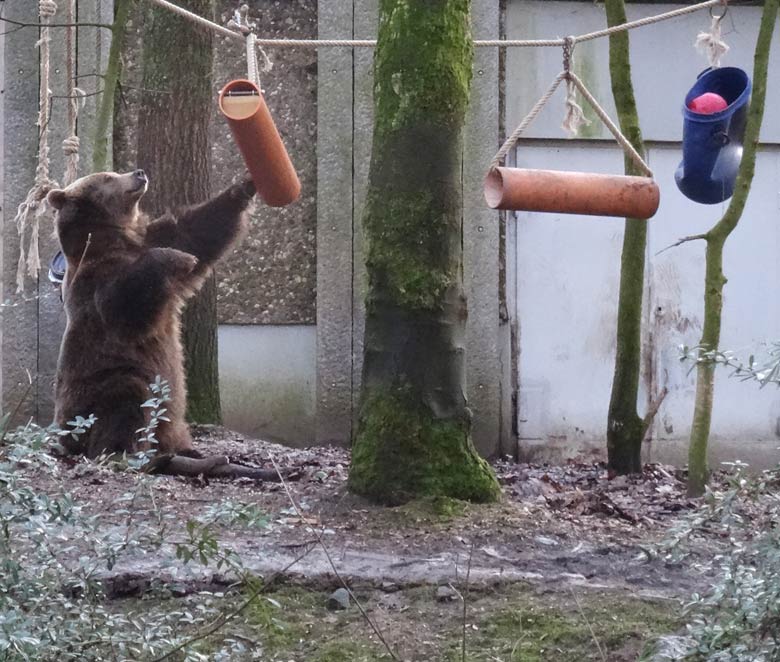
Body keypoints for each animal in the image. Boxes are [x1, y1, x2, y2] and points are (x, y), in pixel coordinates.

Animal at [48, 171, 253, 462]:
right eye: (108, 177)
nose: (139, 173)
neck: (117, 237)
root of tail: (62, 435)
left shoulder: (152, 237)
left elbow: (194, 232)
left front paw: (244, 187)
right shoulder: (96, 279)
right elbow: (123, 305)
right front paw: (179, 259)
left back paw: (188, 451)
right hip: (93, 390)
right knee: (127, 397)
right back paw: (126, 452)